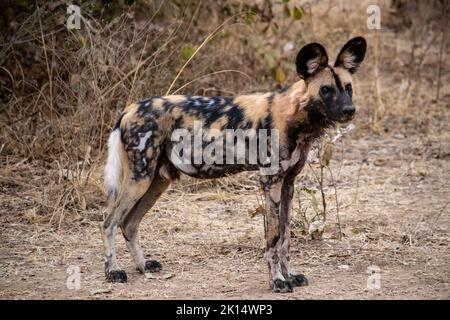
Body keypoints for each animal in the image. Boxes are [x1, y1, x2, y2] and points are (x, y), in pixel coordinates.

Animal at [101, 37, 366, 292]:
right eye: (326, 90)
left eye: (349, 88)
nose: (349, 110)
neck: (296, 117)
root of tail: (129, 110)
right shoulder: (271, 182)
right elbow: (273, 238)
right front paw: (277, 281)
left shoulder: (288, 184)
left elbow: (285, 239)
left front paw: (290, 275)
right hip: (139, 179)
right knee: (109, 222)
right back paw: (113, 271)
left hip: (156, 181)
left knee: (129, 224)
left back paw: (143, 265)